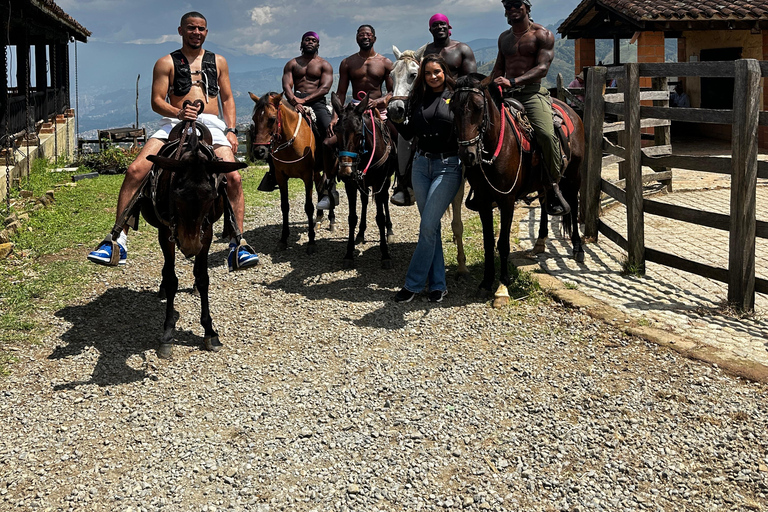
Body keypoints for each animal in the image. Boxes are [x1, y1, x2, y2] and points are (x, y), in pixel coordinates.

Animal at [249, 92, 328, 254]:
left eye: (272, 119)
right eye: (254, 119)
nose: (259, 151)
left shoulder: (307, 177)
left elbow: (308, 207)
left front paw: (311, 241)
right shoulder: (281, 177)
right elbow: (284, 206)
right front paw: (283, 239)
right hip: (316, 172)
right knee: (321, 188)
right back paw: (319, 218)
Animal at [330, 93, 396, 268]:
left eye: (359, 134)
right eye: (336, 133)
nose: (345, 172)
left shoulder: (379, 182)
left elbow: (380, 217)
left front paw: (385, 255)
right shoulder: (351, 185)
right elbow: (352, 218)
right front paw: (349, 254)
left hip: (386, 181)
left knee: (385, 200)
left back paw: (389, 230)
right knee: (365, 200)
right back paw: (360, 233)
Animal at [450, 74, 588, 302]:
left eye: (479, 107)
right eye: (452, 108)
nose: (467, 155)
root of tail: (570, 110)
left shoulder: (507, 200)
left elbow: (503, 244)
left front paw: (502, 286)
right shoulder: (483, 200)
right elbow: (488, 242)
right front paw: (486, 282)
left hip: (575, 175)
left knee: (573, 206)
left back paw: (578, 248)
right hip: (543, 182)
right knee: (544, 202)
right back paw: (540, 241)